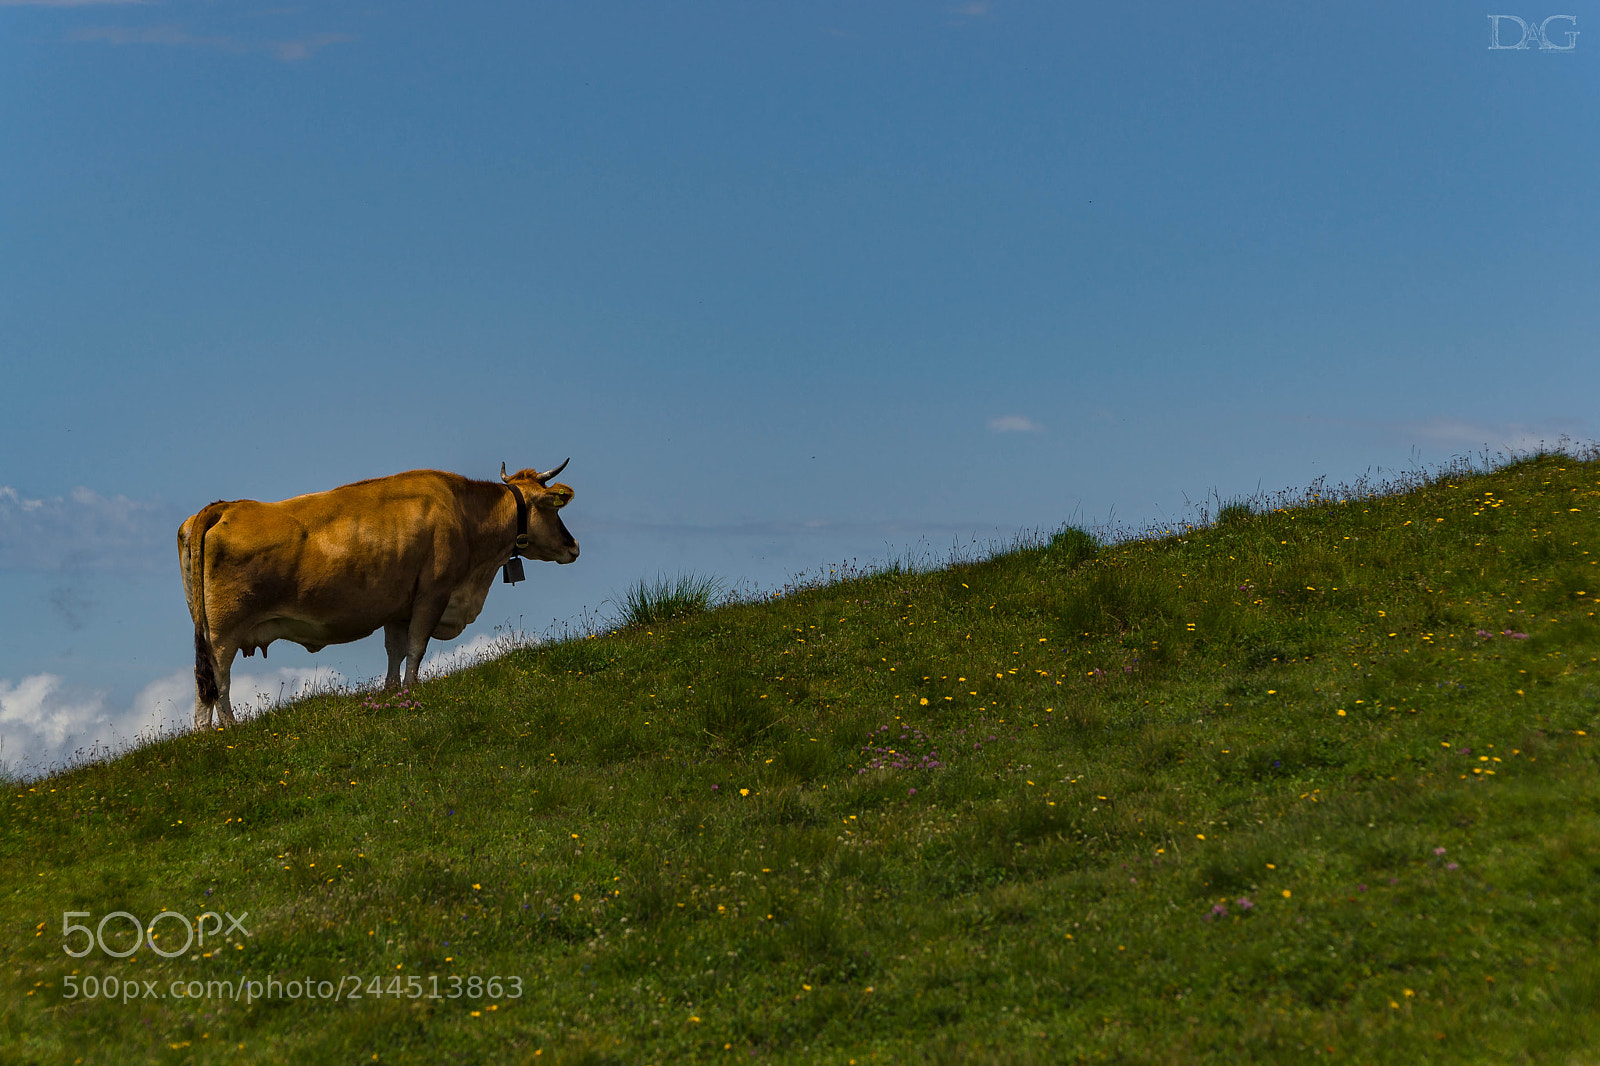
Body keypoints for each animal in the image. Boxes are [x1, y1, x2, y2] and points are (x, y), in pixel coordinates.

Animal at [176, 461, 578, 730]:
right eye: (551, 507)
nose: (572, 546)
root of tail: (223, 506)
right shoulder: (433, 593)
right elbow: (416, 647)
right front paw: (413, 690)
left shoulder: (399, 607)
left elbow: (395, 651)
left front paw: (391, 692)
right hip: (223, 632)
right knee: (219, 680)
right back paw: (228, 728)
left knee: (204, 683)